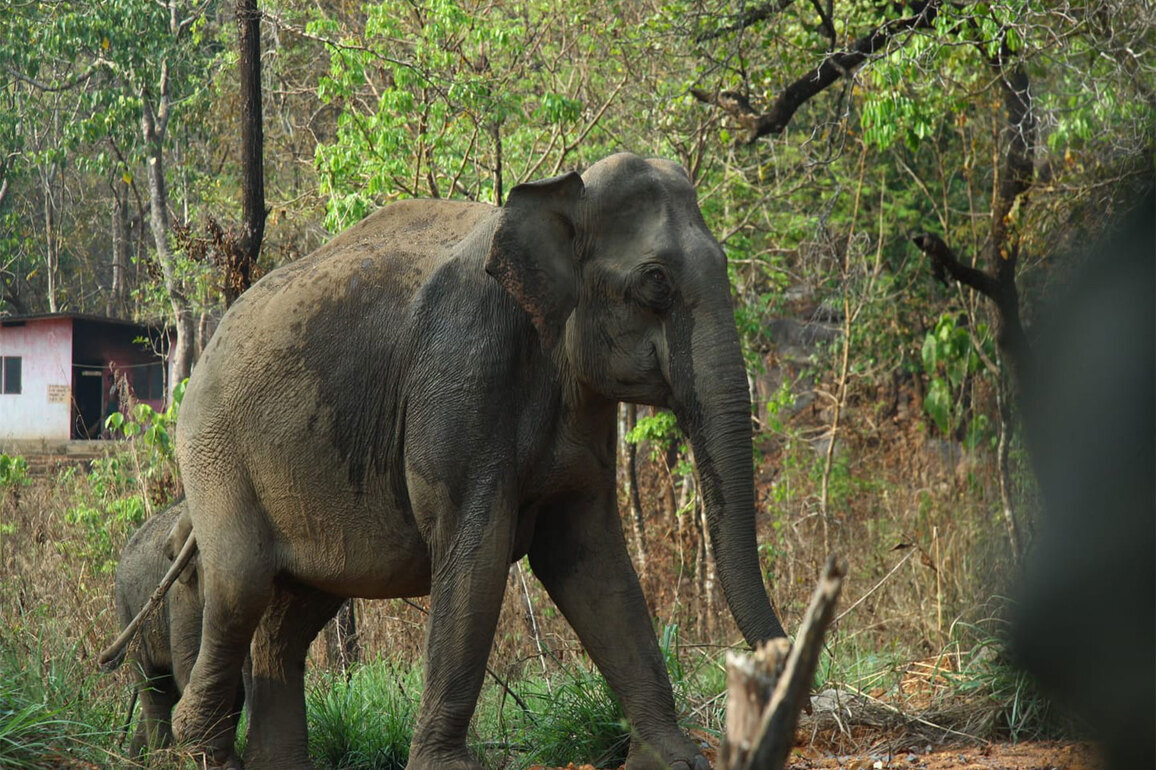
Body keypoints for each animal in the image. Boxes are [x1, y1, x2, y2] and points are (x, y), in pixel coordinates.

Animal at [169, 151, 788, 769]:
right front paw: (447, 766)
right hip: (214, 450)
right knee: (241, 585)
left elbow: (588, 557)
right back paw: (199, 747)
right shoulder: (462, 370)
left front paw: (672, 759)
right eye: (655, 280)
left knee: (292, 617)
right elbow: (478, 549)